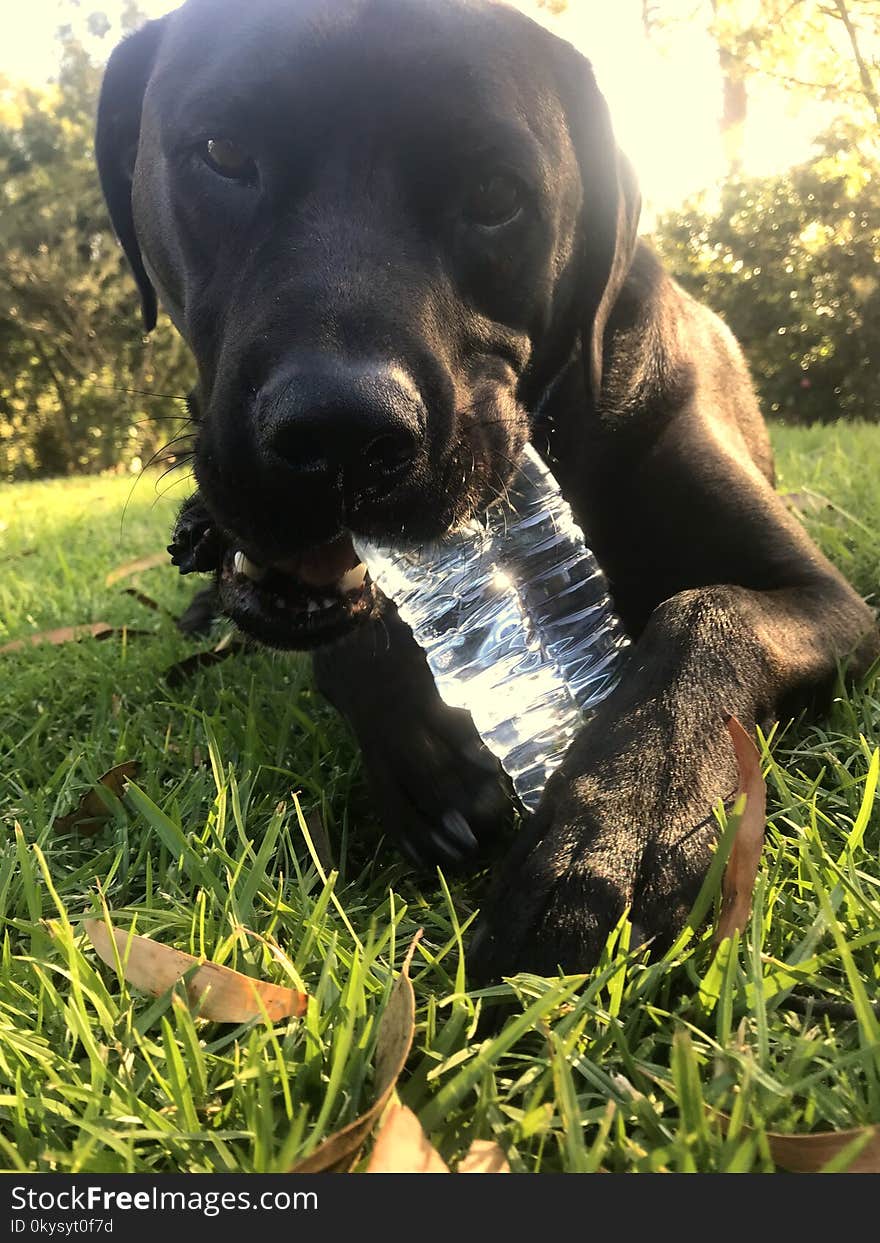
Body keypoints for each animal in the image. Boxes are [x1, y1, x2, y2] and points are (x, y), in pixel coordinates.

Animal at [92, 0, 875, 979]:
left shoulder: (829, 598)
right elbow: (354, 633)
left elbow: (709, 613)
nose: (341, 434)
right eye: (224, 151)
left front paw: (620, 830)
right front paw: (425, 743)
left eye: (499, 196)